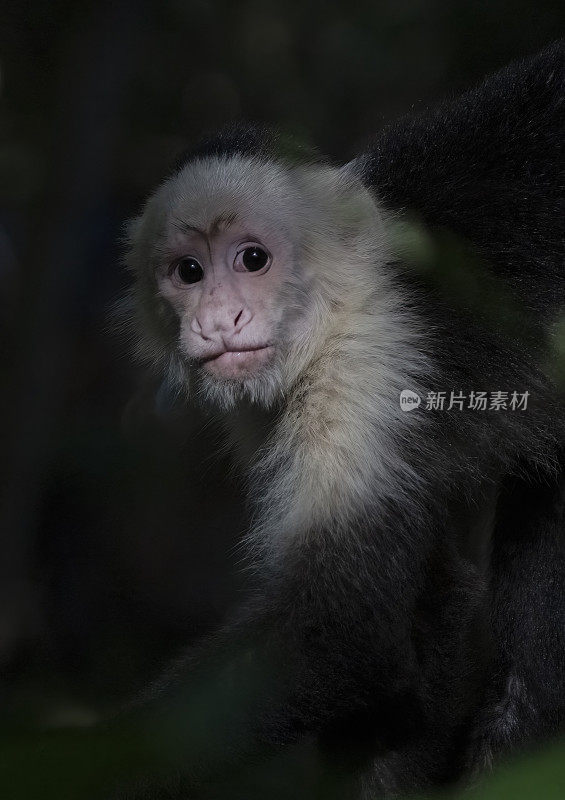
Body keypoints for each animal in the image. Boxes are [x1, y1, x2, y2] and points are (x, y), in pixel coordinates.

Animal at [118, 40, 560, 796]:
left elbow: (342, 625)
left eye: (253, 259)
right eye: (188, 272)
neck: (344, 298)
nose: (218, 320)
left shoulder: (368, 362)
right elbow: (430, 602)